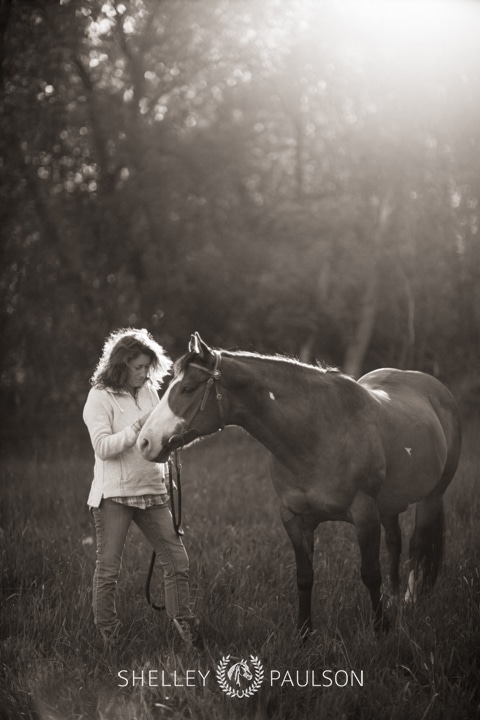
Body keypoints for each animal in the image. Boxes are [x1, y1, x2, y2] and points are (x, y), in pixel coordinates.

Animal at [138, 334, 462, 632]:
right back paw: (394, 599)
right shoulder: (294, 518)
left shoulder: (365, 515)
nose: (145, 442)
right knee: (396, 542)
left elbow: (370, 573)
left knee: (417, 546)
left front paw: (381, 627)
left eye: (188, 388)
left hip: (431, 498)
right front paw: (304, 632)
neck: (317, 434)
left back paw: (407, 600)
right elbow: (305, 577)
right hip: (390, 505)